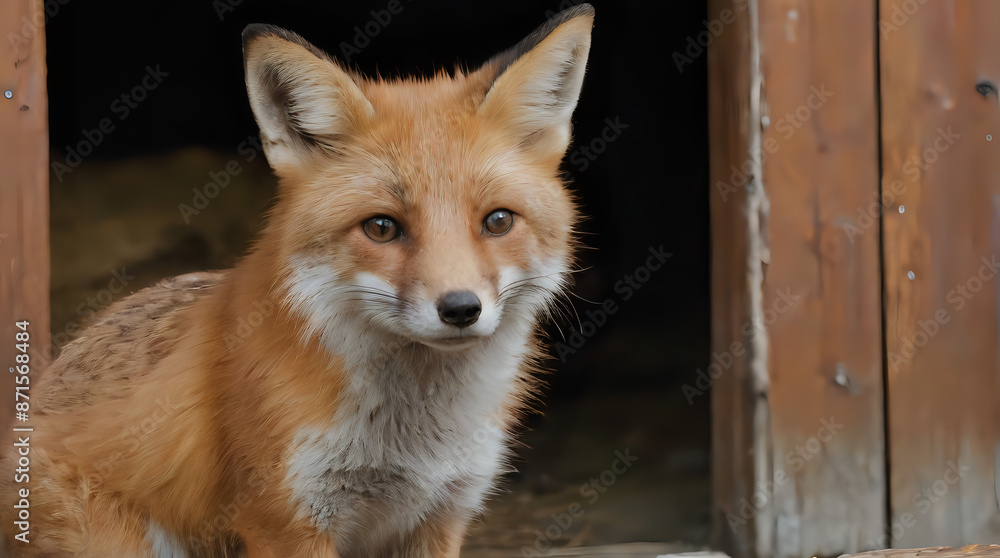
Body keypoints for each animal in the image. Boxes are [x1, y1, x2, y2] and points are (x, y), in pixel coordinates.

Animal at [1, 4, 593, 557]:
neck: (413, 442)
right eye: (382, 227)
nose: (461, 308)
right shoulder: (286, 520)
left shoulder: (441, 514)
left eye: (498, 221)